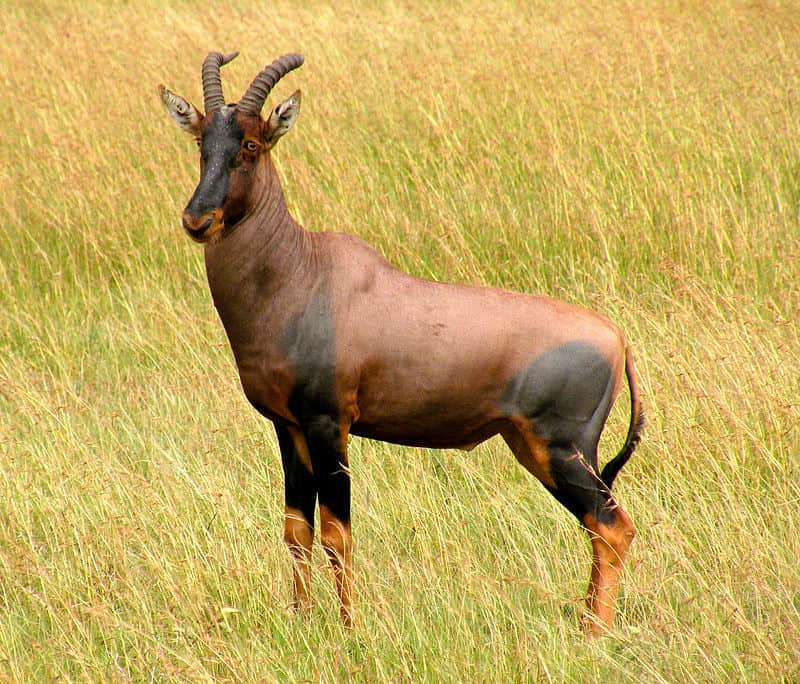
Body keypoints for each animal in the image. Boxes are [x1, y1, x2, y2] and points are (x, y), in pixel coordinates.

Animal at [159, 51, 643, 638]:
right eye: (202, 142)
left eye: (252, 144)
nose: (197, 219)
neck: (301, 271)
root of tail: (617, 339)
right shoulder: (288, 426)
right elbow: (297, 529)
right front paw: (300, 620)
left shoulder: (329, 424)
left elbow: (337, 532)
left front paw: (348, 630)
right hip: (535, 448)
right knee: (601, 526)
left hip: (563, 450)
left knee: (612, 527)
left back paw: (594, 634)